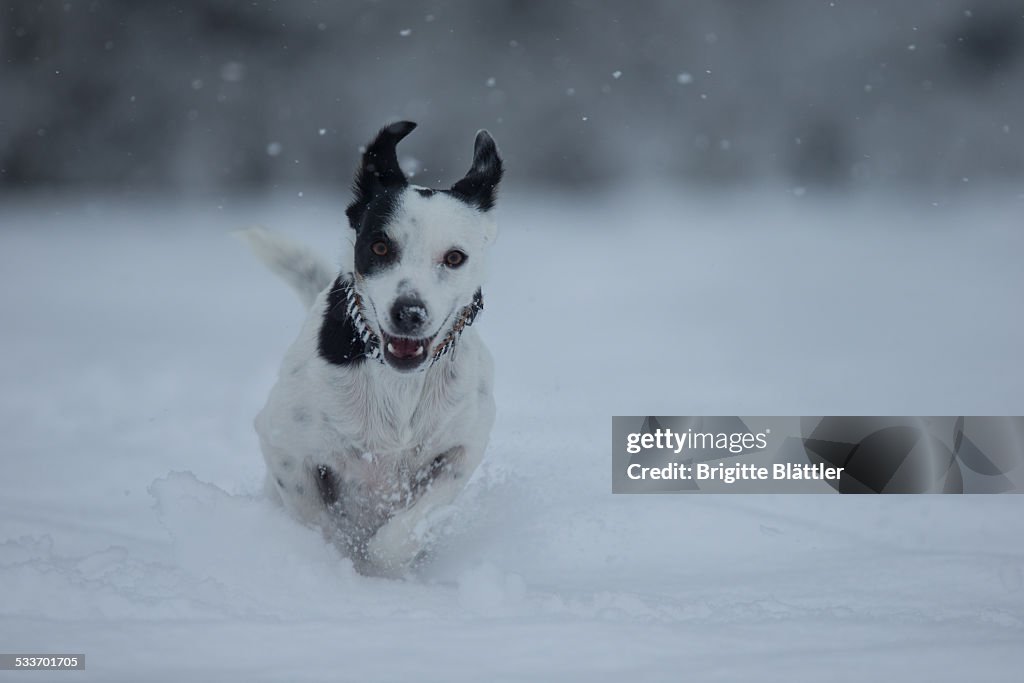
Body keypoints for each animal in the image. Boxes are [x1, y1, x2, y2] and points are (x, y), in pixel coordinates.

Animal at [245, 122, 505, 577]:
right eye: (380, 247)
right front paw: (340, 561)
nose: (410, 312)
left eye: (455, 257)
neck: (397, 382)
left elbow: (408, 525)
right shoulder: (284, 447)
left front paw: (385, 565)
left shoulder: (462, 451)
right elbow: (318, 520)